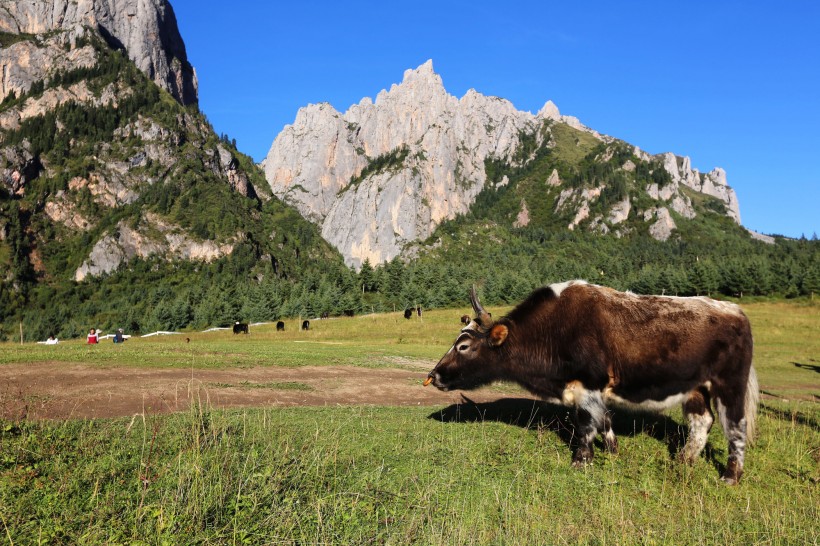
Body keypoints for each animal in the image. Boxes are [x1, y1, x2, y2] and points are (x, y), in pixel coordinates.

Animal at [426, 278, 760, 482]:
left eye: (463, 346)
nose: (433, 376)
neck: (552, 329)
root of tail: (735, 310)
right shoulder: (588, 391)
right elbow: (604, 420)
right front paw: (612, 454)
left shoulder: (588, 384)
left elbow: (586, 425)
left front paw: (581, 461)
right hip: (695, 388)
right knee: (701, 422)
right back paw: (682, 461)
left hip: (729, 384)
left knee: (736, 426)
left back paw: (730, 476)